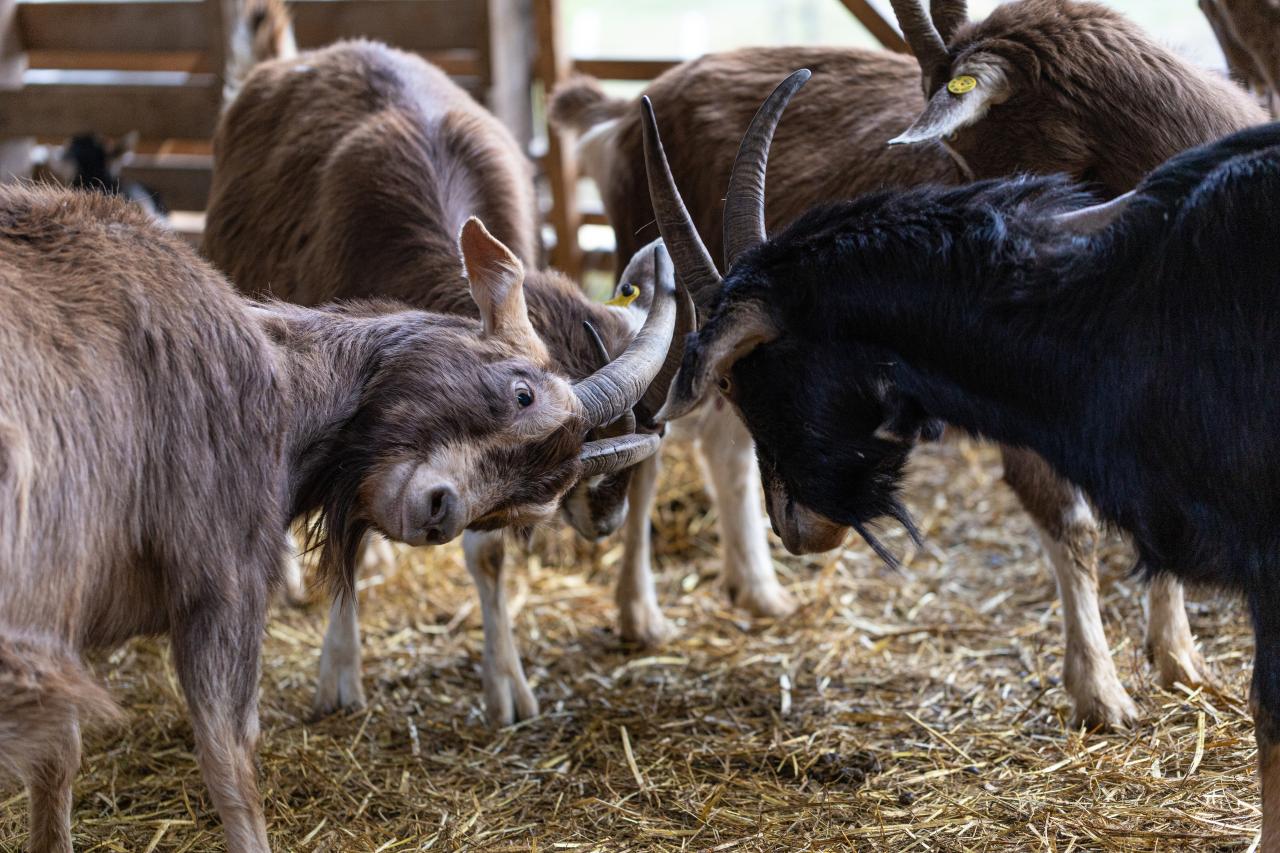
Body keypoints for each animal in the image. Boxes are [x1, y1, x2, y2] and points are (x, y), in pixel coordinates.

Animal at [0, 183, 674, 851]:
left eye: (524, 503)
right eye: (523, 392)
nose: (440, 513)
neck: (283, 378)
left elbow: (58, 760)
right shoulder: (221, 579)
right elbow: (229, 760)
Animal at [203, 30, 693, 726]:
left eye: (536, 500)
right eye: (520, 393)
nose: (605, 519)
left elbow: (482, 556)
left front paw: (505, 681)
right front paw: (339, 671)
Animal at [549, 0, 1268, 728]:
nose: (806, 528)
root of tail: (633, 107)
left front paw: (1180, 661)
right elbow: (1073, 521)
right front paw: (1100, 693)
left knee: (721, 445)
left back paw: (760, 592)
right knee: (648, 444)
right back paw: (641, 616)